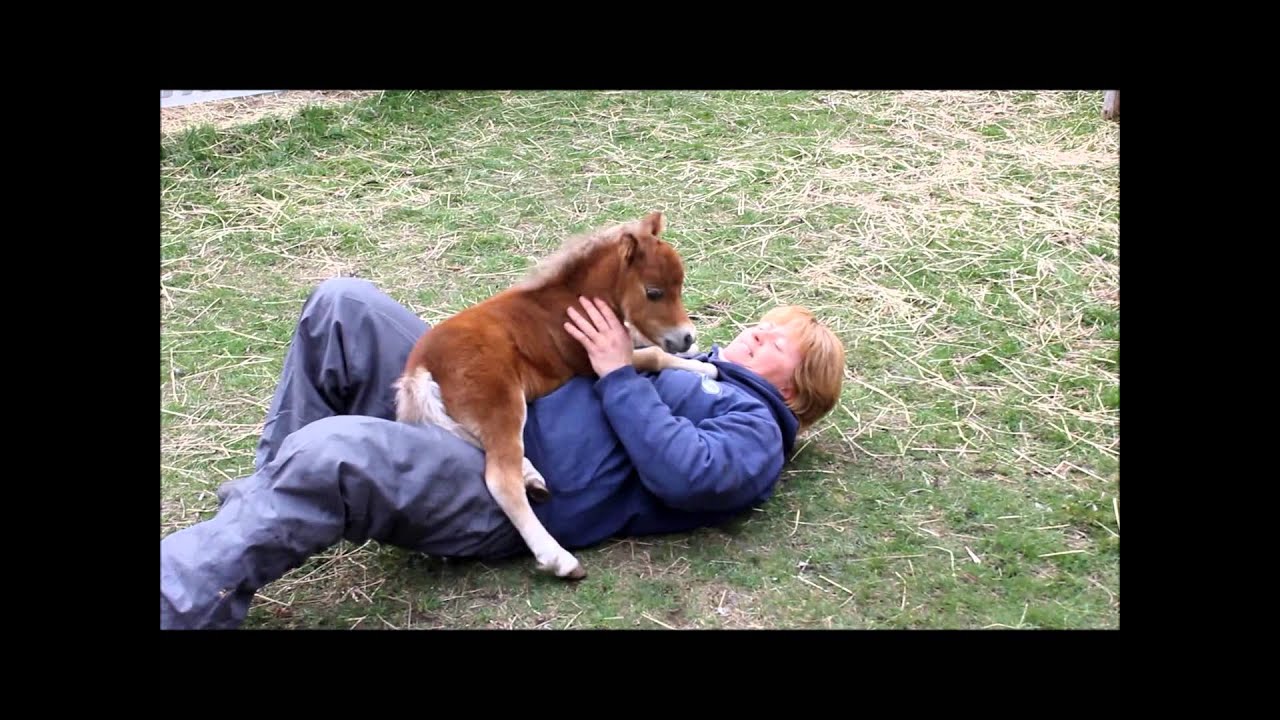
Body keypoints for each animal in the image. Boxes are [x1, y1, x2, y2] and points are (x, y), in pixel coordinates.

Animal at [394, 211, 701, 581]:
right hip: (503, 405)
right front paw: (705, 369)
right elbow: (654, 354)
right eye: (654, 292)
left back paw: (532, 476)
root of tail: (420, 368)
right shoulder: (589, 361)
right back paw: (560, 559)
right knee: (501, 478)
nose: (686, 336)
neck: (573, 300)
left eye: (680, 285)